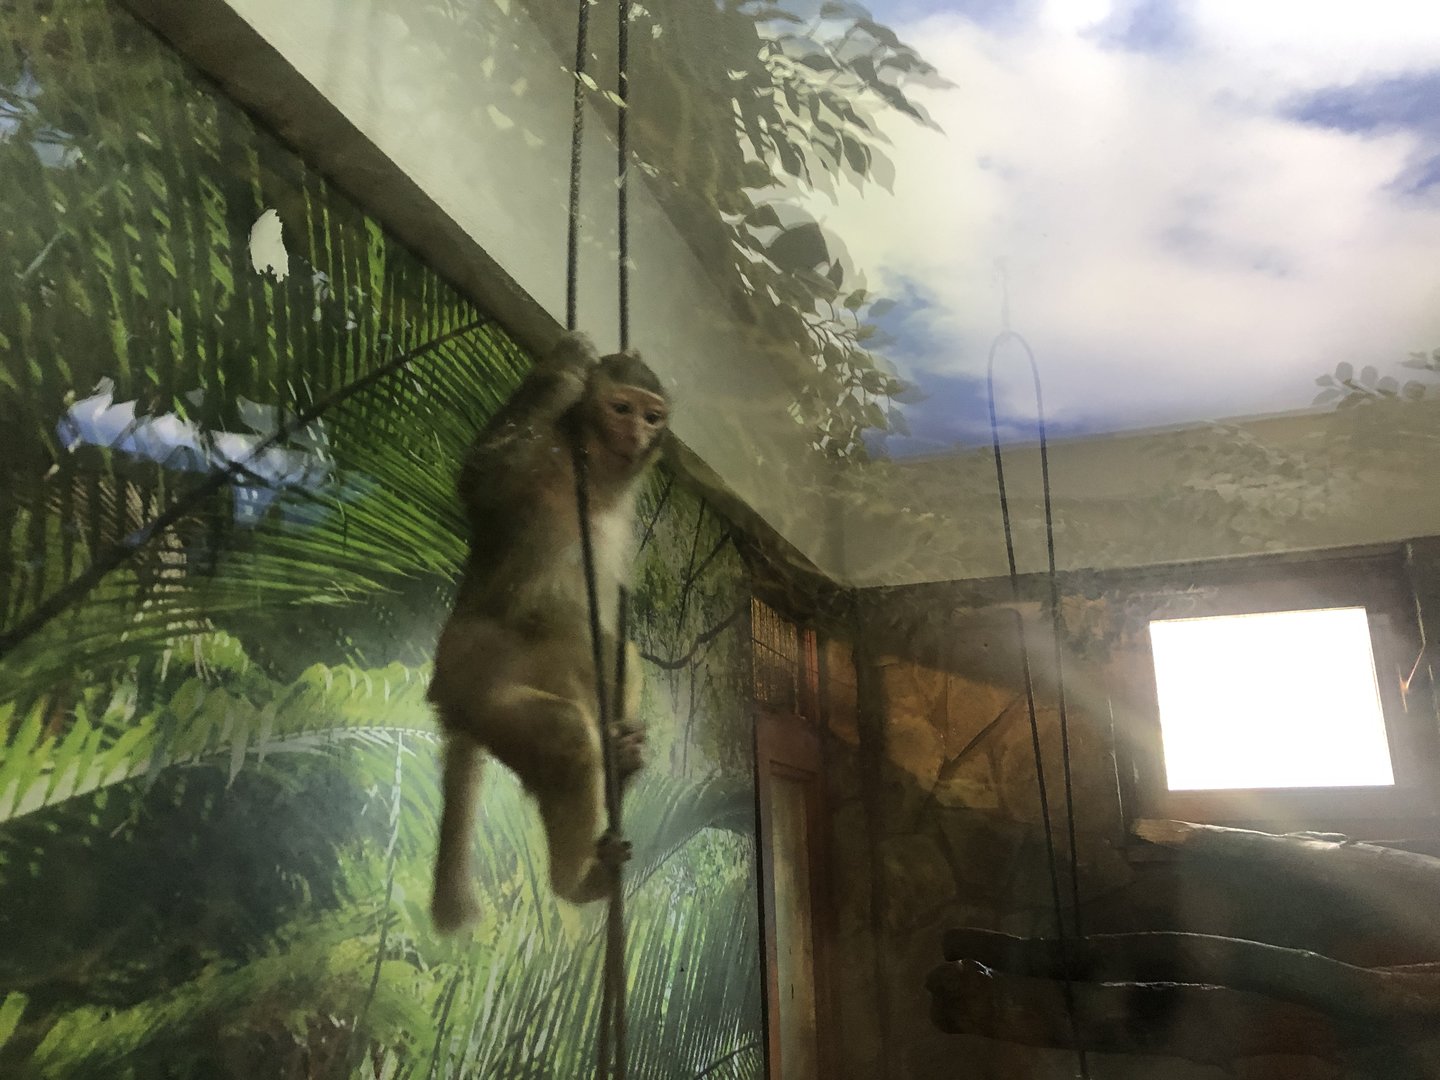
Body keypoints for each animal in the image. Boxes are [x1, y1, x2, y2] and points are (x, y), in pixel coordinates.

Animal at [427, 330, 670, 934]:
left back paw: (621, 760)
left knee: (614, 650)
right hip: (478, 693)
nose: (637, 434)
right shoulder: (537, 462)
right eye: (621, 408)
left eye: (652, 416)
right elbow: (482, 477)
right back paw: (575, 882)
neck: (593, 482)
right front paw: (567, 363)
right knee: (565, 732)